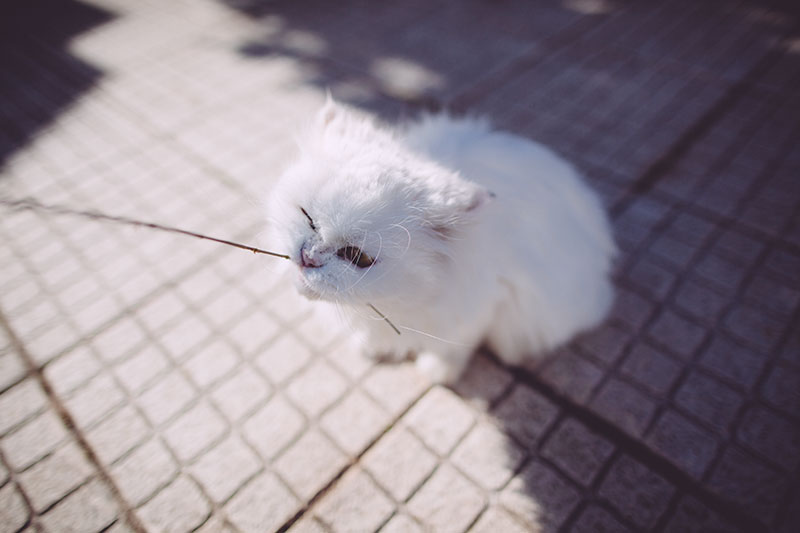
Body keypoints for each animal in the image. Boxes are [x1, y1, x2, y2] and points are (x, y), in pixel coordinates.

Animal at [266, 100, 616, 382]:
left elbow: (454, 347)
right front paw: (370, 349)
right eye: (308, 217)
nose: (308, 256)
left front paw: (438, 374)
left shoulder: (484, 303)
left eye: (357, 257)